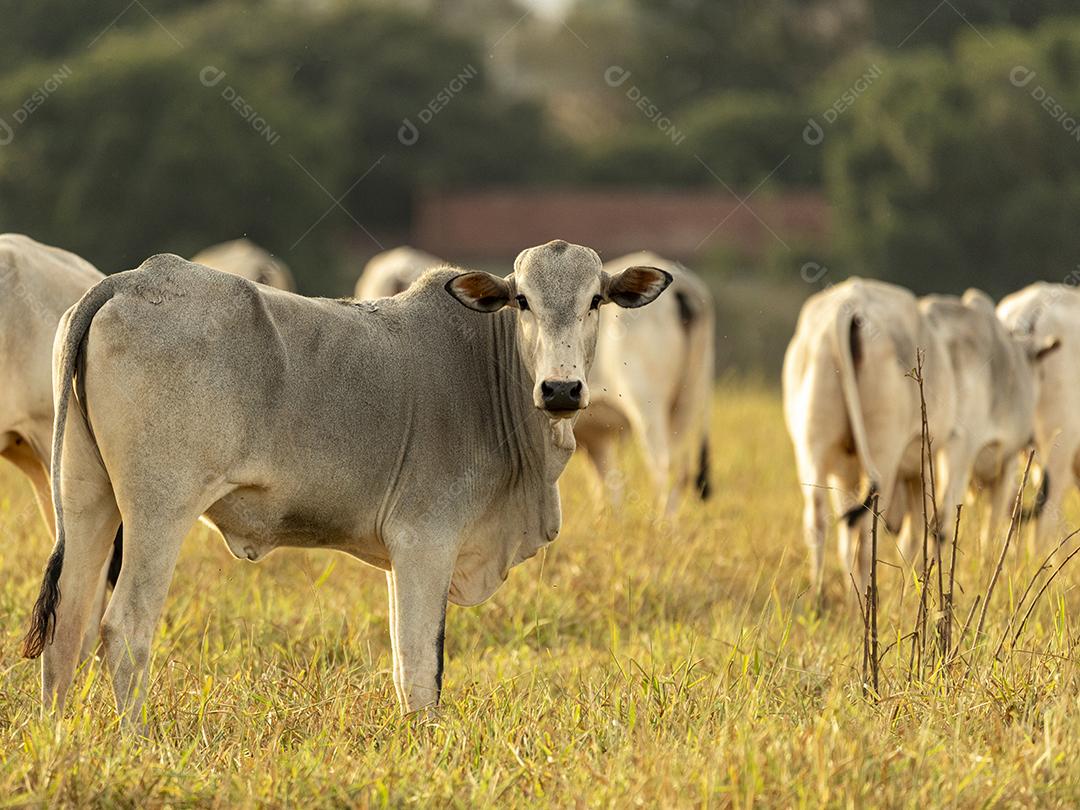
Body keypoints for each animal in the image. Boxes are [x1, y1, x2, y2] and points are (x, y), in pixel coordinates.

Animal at [22, 240, 672, 731]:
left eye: (595, 300)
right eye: (522, 301)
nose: (561, 390)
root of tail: (131, 279)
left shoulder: (402, 556)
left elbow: (404, 665)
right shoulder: (425, 541)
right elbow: (421, 666)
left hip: (86, 500)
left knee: (68, 625)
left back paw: (59, 738)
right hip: (159, 510)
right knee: (124, 627)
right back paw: (136, 740)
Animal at [573, 252, 715, 511]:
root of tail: (683, 285)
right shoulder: (598, 439)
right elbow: (607, 486)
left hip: (647, 406)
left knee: (664, 465)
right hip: (688, 401)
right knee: (680, 470)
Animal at [782, 278, 956, 600]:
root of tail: (850, 307)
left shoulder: (844, 473)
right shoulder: (920, 465)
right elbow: (916, 533)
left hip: (813, 445)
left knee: (818, 519)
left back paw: (819, 596)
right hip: (882, 448)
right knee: (865, 524)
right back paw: (864, 595)